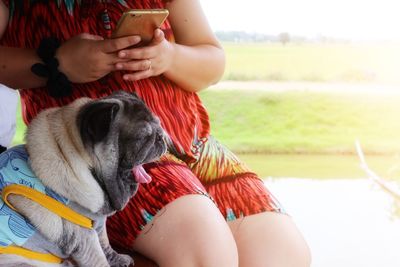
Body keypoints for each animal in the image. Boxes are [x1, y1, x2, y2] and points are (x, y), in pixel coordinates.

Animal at [0, 91, 167, 266]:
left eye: (159, 124)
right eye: (142, 137)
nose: (161, 136)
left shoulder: (98, 224)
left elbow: (105, 245)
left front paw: (117, 259)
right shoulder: (85, 236)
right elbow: (99, 259)